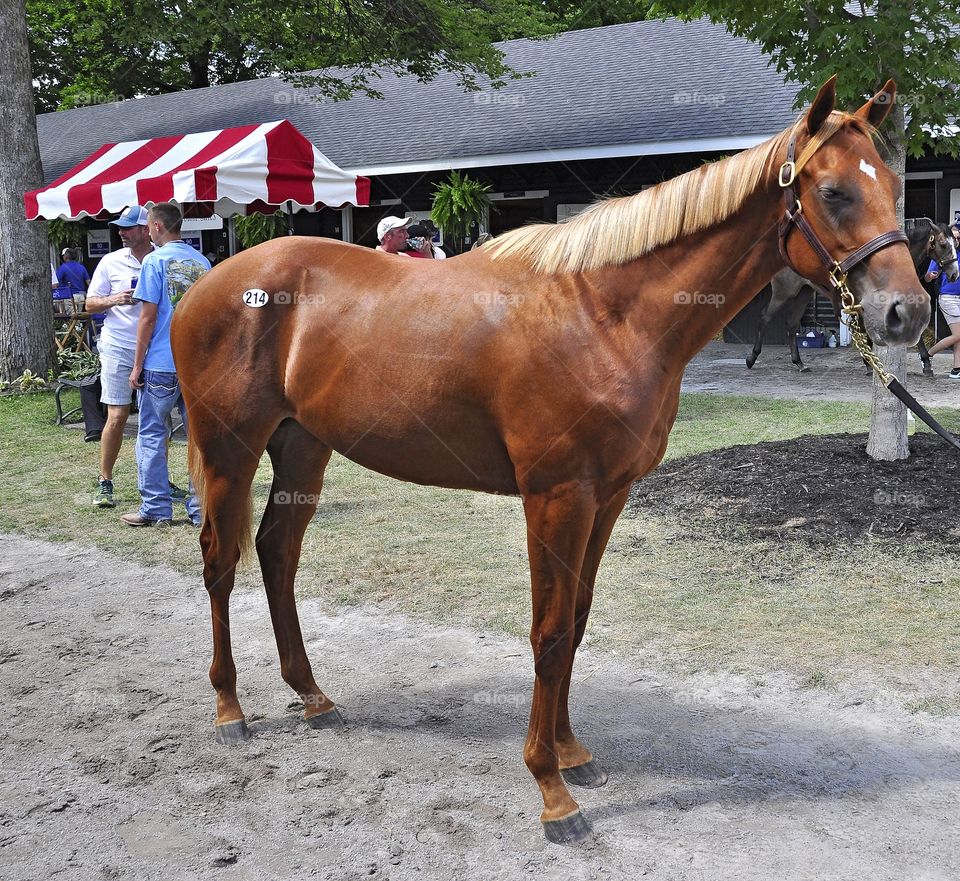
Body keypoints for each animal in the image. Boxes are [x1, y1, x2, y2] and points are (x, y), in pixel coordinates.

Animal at [171, 77, 929, 844]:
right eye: (833, 191)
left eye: (896, 183)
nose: (909, 312)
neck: (602, 314)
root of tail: (208, 284)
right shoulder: (556, 495)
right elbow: (549, 629)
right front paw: (550, 788)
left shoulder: (608, 495)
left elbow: (578, 619)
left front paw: (571, 752)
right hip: (231, 450)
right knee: (219, 562)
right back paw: (230, 709)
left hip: (303, 446)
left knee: (276, 553)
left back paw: (313, 695)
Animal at [744, 218, 958, 371]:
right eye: (942, 243)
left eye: (955, 243)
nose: (954, 273)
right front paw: (870, 364)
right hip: (784, 292)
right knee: (765, 317)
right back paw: (751, 358)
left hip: (803, 293)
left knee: (791, 324)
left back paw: (799, 363)